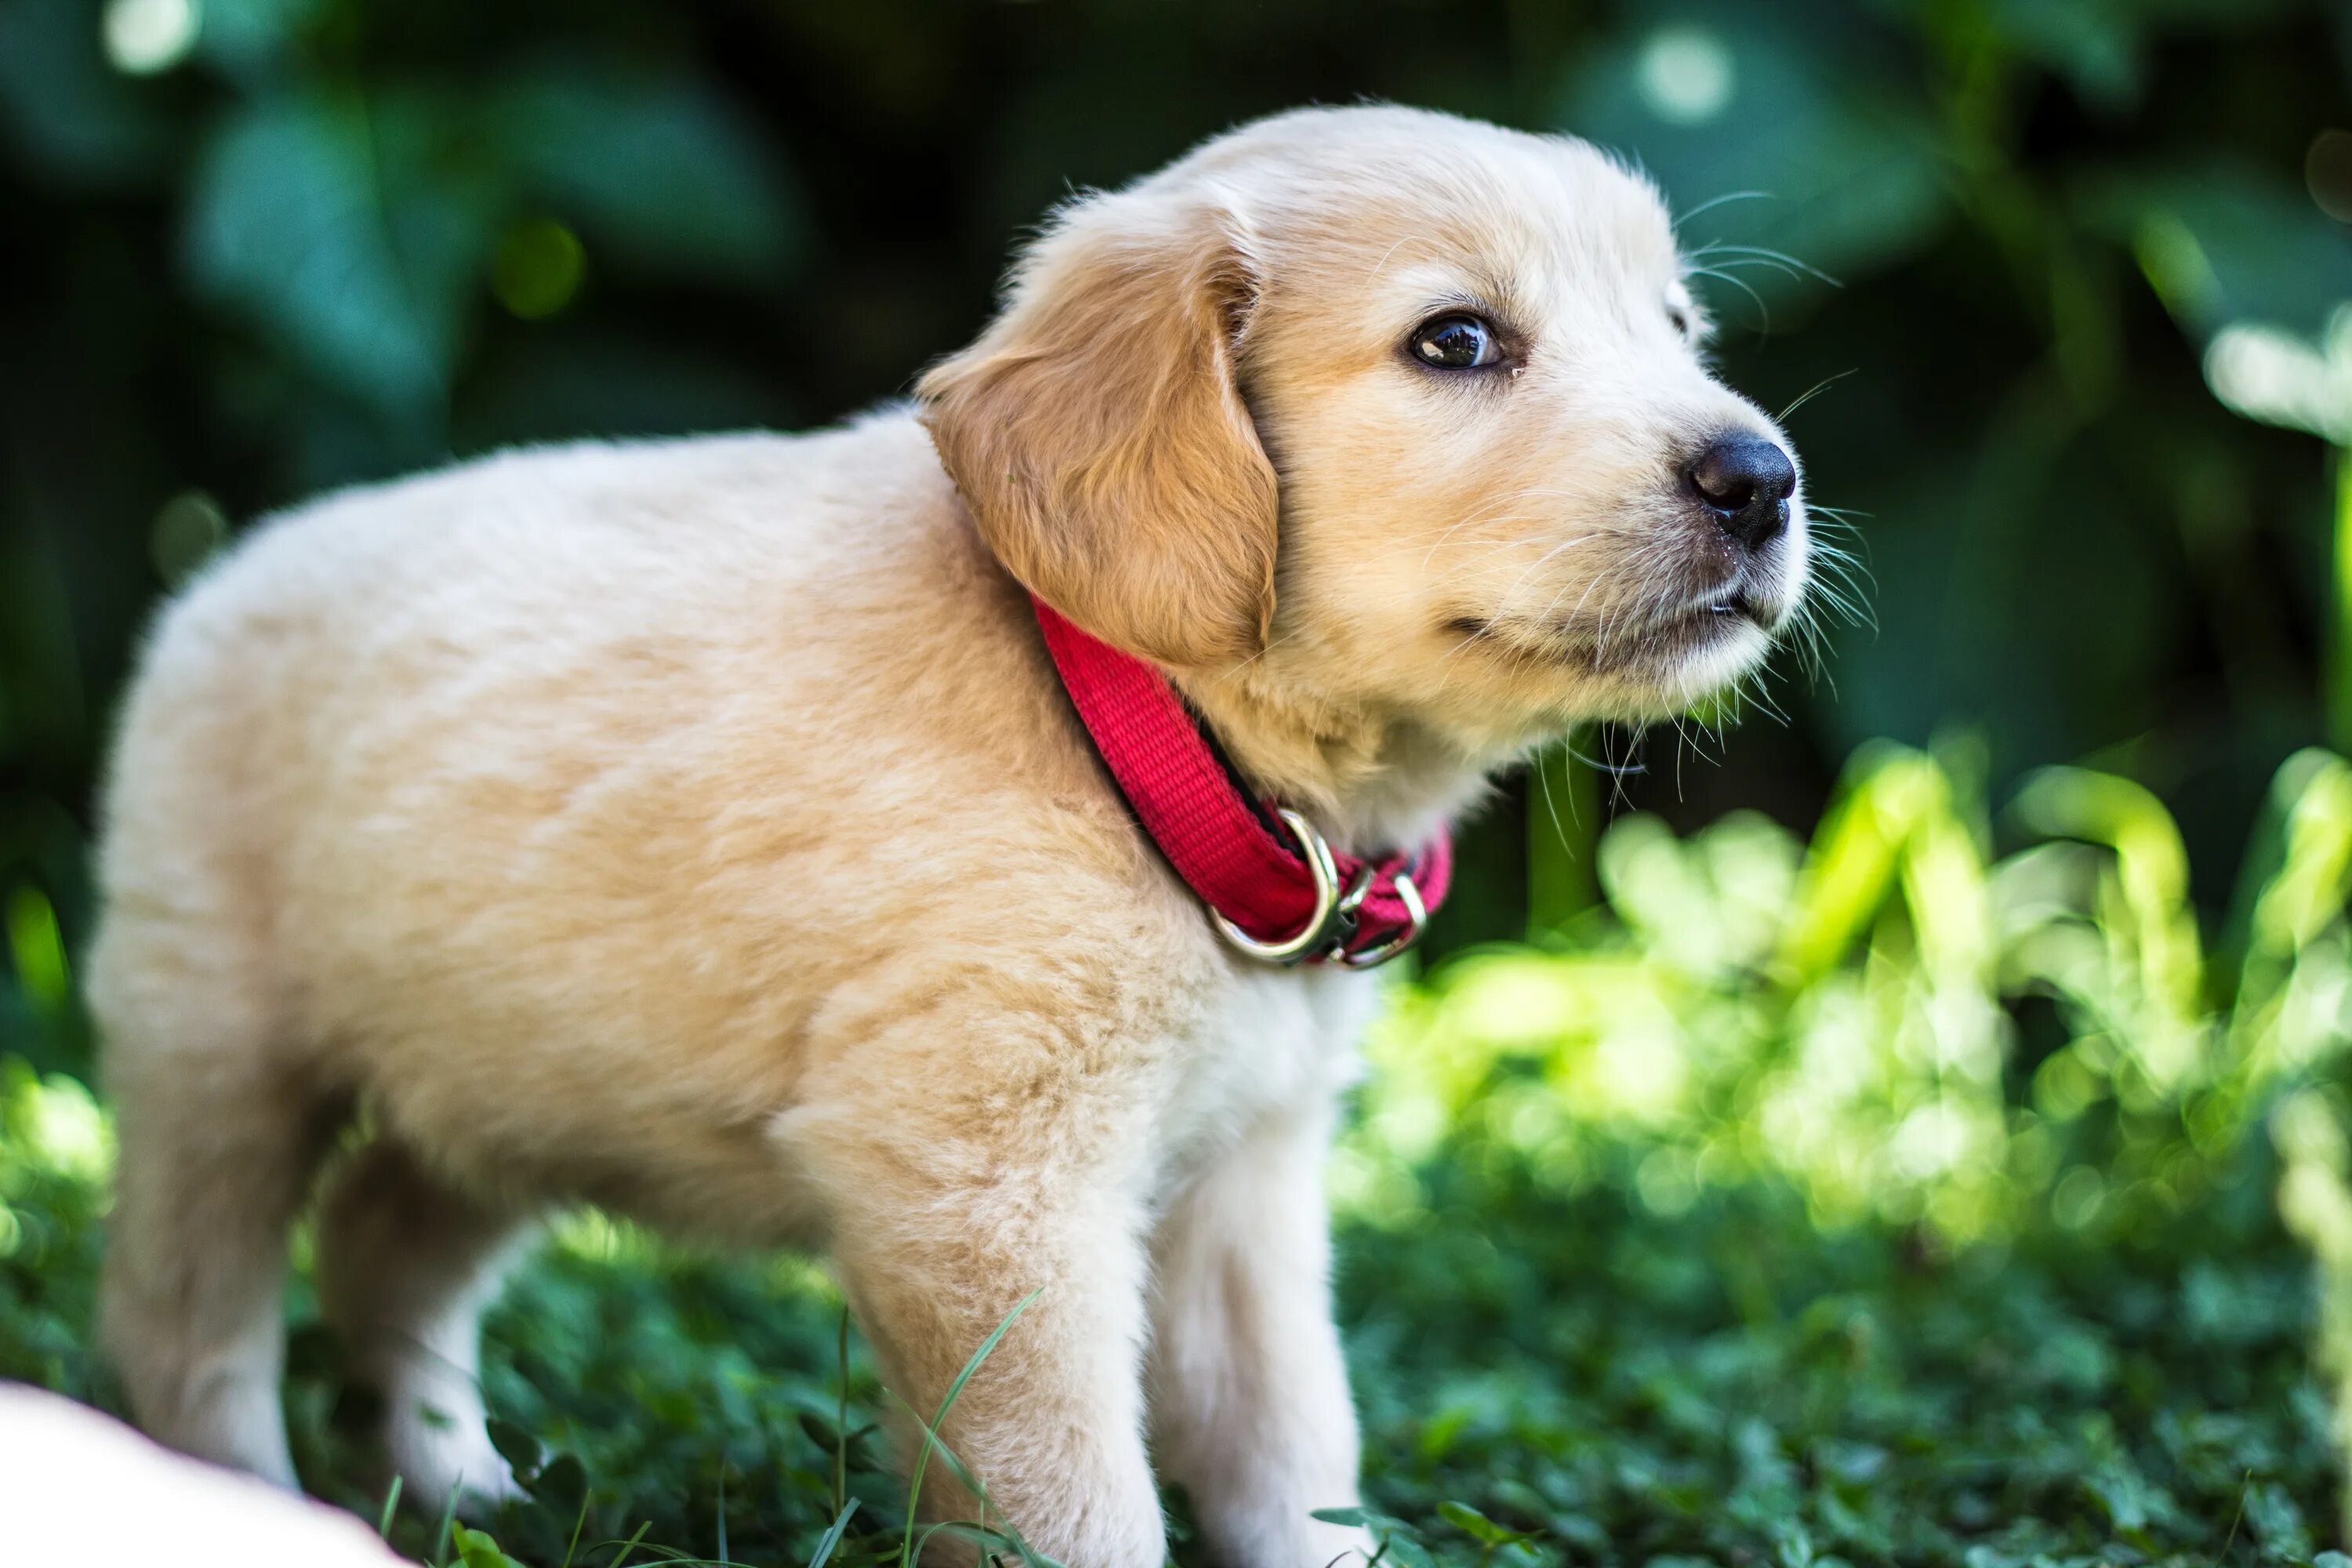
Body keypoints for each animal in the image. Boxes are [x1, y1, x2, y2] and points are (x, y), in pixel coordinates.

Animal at [92, 103, 1806, 1561]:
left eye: (1678, 329)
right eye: (1457, 341)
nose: (1765, 476)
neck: (1138, 725)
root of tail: (220, 575)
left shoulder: (1245, 1188)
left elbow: (1293, 1444)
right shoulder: (983, 1190)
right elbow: (1074, 1499)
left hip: (508, 1074)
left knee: (386, 1234)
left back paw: (456, 1484)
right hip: (215, 1057)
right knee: (186, 1325)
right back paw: (240, 1497)